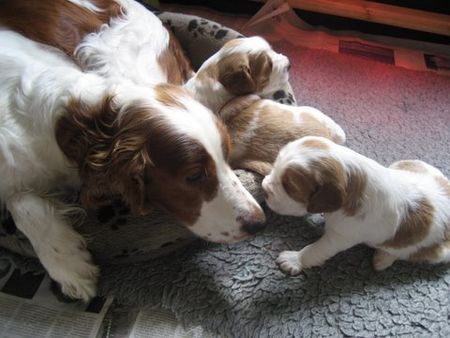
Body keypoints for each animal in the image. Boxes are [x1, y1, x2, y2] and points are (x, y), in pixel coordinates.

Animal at [262, 135, 450, 274]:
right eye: (275, 165)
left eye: (289, 187)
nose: (264, 189)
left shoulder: (340, 237)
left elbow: (315, 249)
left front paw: (294, 259)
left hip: (438, 252)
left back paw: (383, 259)